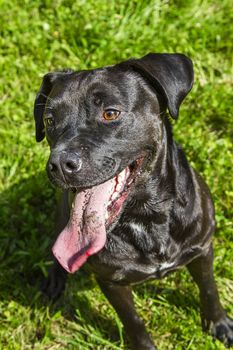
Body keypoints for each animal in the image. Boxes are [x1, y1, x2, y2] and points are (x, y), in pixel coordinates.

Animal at [33, 53, 232, 348]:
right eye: (49, 120)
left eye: (110, 113)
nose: (58, 164)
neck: (147, 216)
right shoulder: (111, 281)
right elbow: (133, 321)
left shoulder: (202, 249)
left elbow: (209, 290)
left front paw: (219, 324)